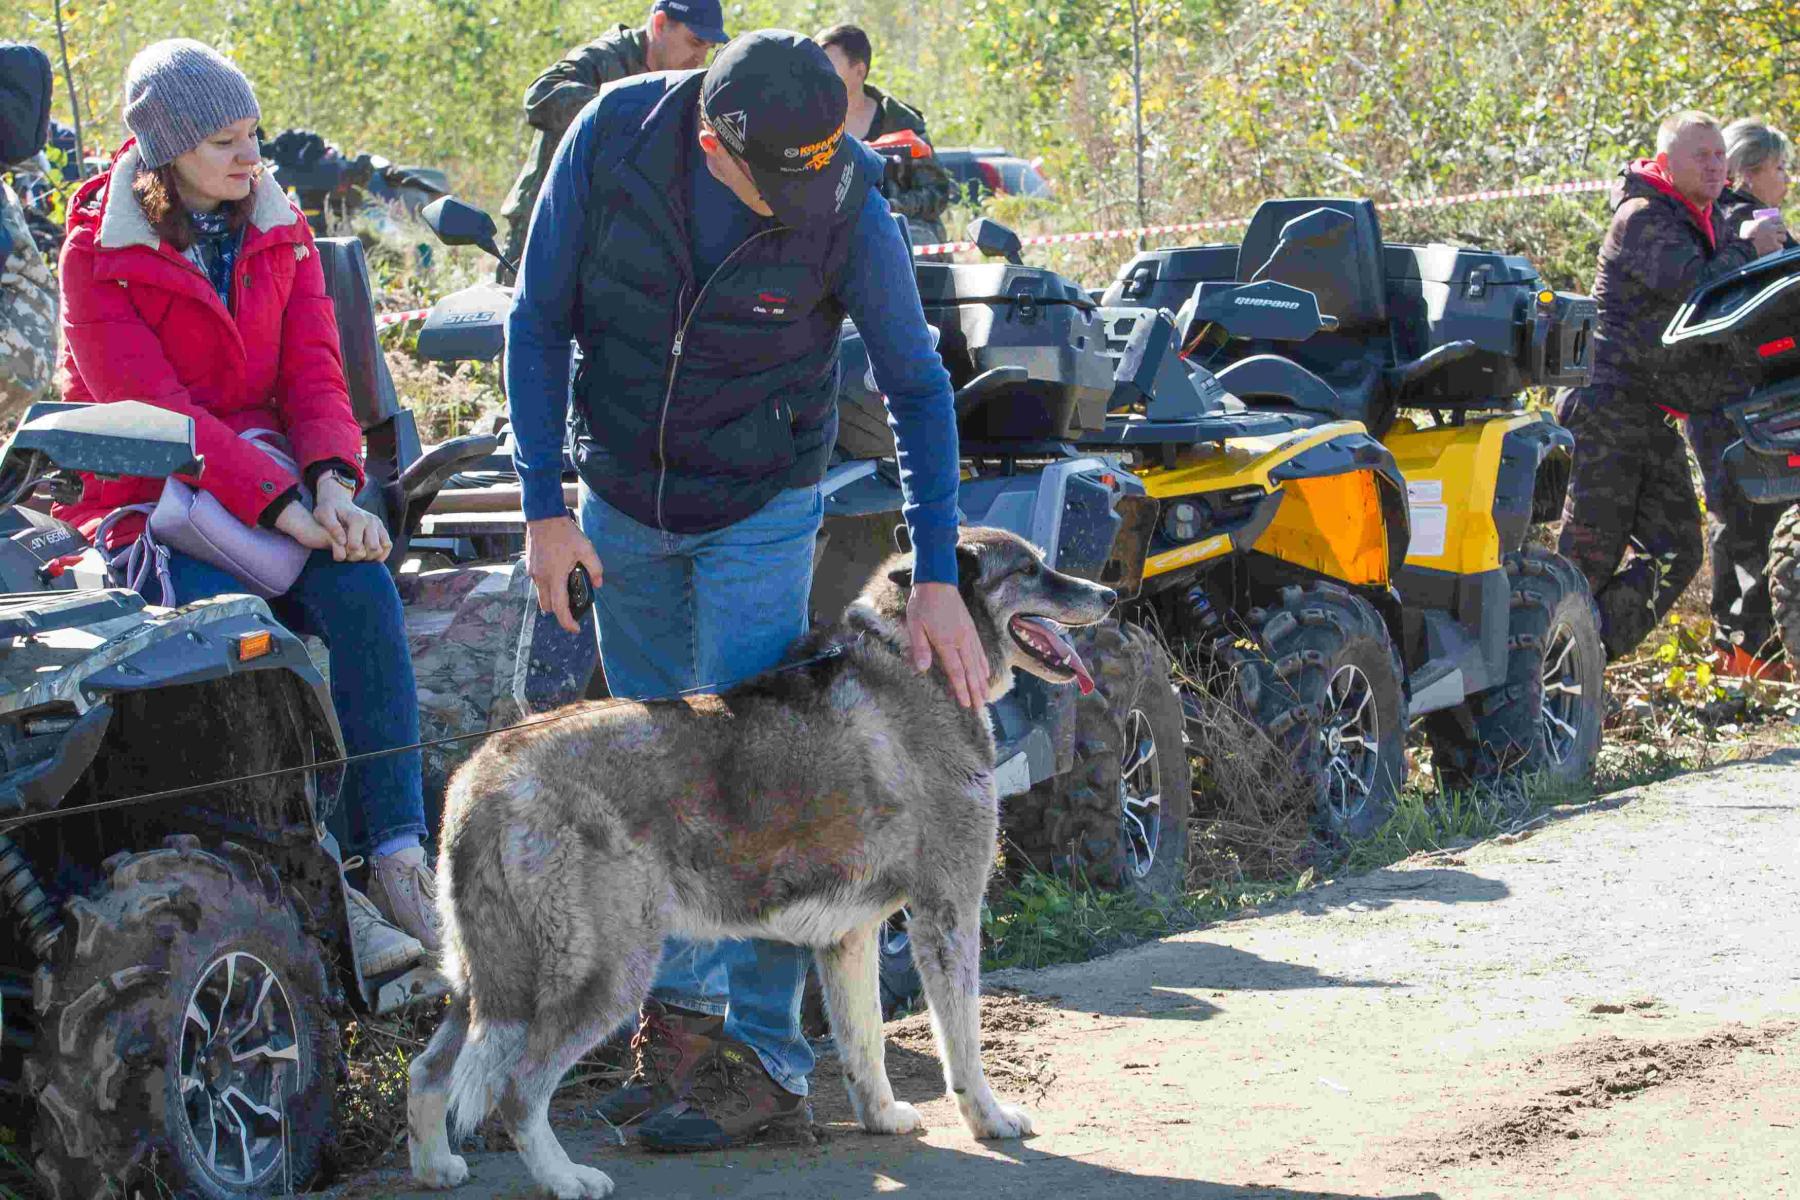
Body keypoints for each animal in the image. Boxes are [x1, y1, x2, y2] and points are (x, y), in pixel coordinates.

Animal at [406, 528, 1108, 1194]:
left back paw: (436, 1167)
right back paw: (563, 1178)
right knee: (517, 1090)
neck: (912, 660)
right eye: (1029, 570)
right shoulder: (949, 913)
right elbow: (962, 1041)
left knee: (428, 1070)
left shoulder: (851, 937)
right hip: (603, 974)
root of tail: (486, 775)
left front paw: (881, 1117)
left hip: (487, 979)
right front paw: (989, 1119)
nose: (1108, 596)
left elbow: (865, 1044)